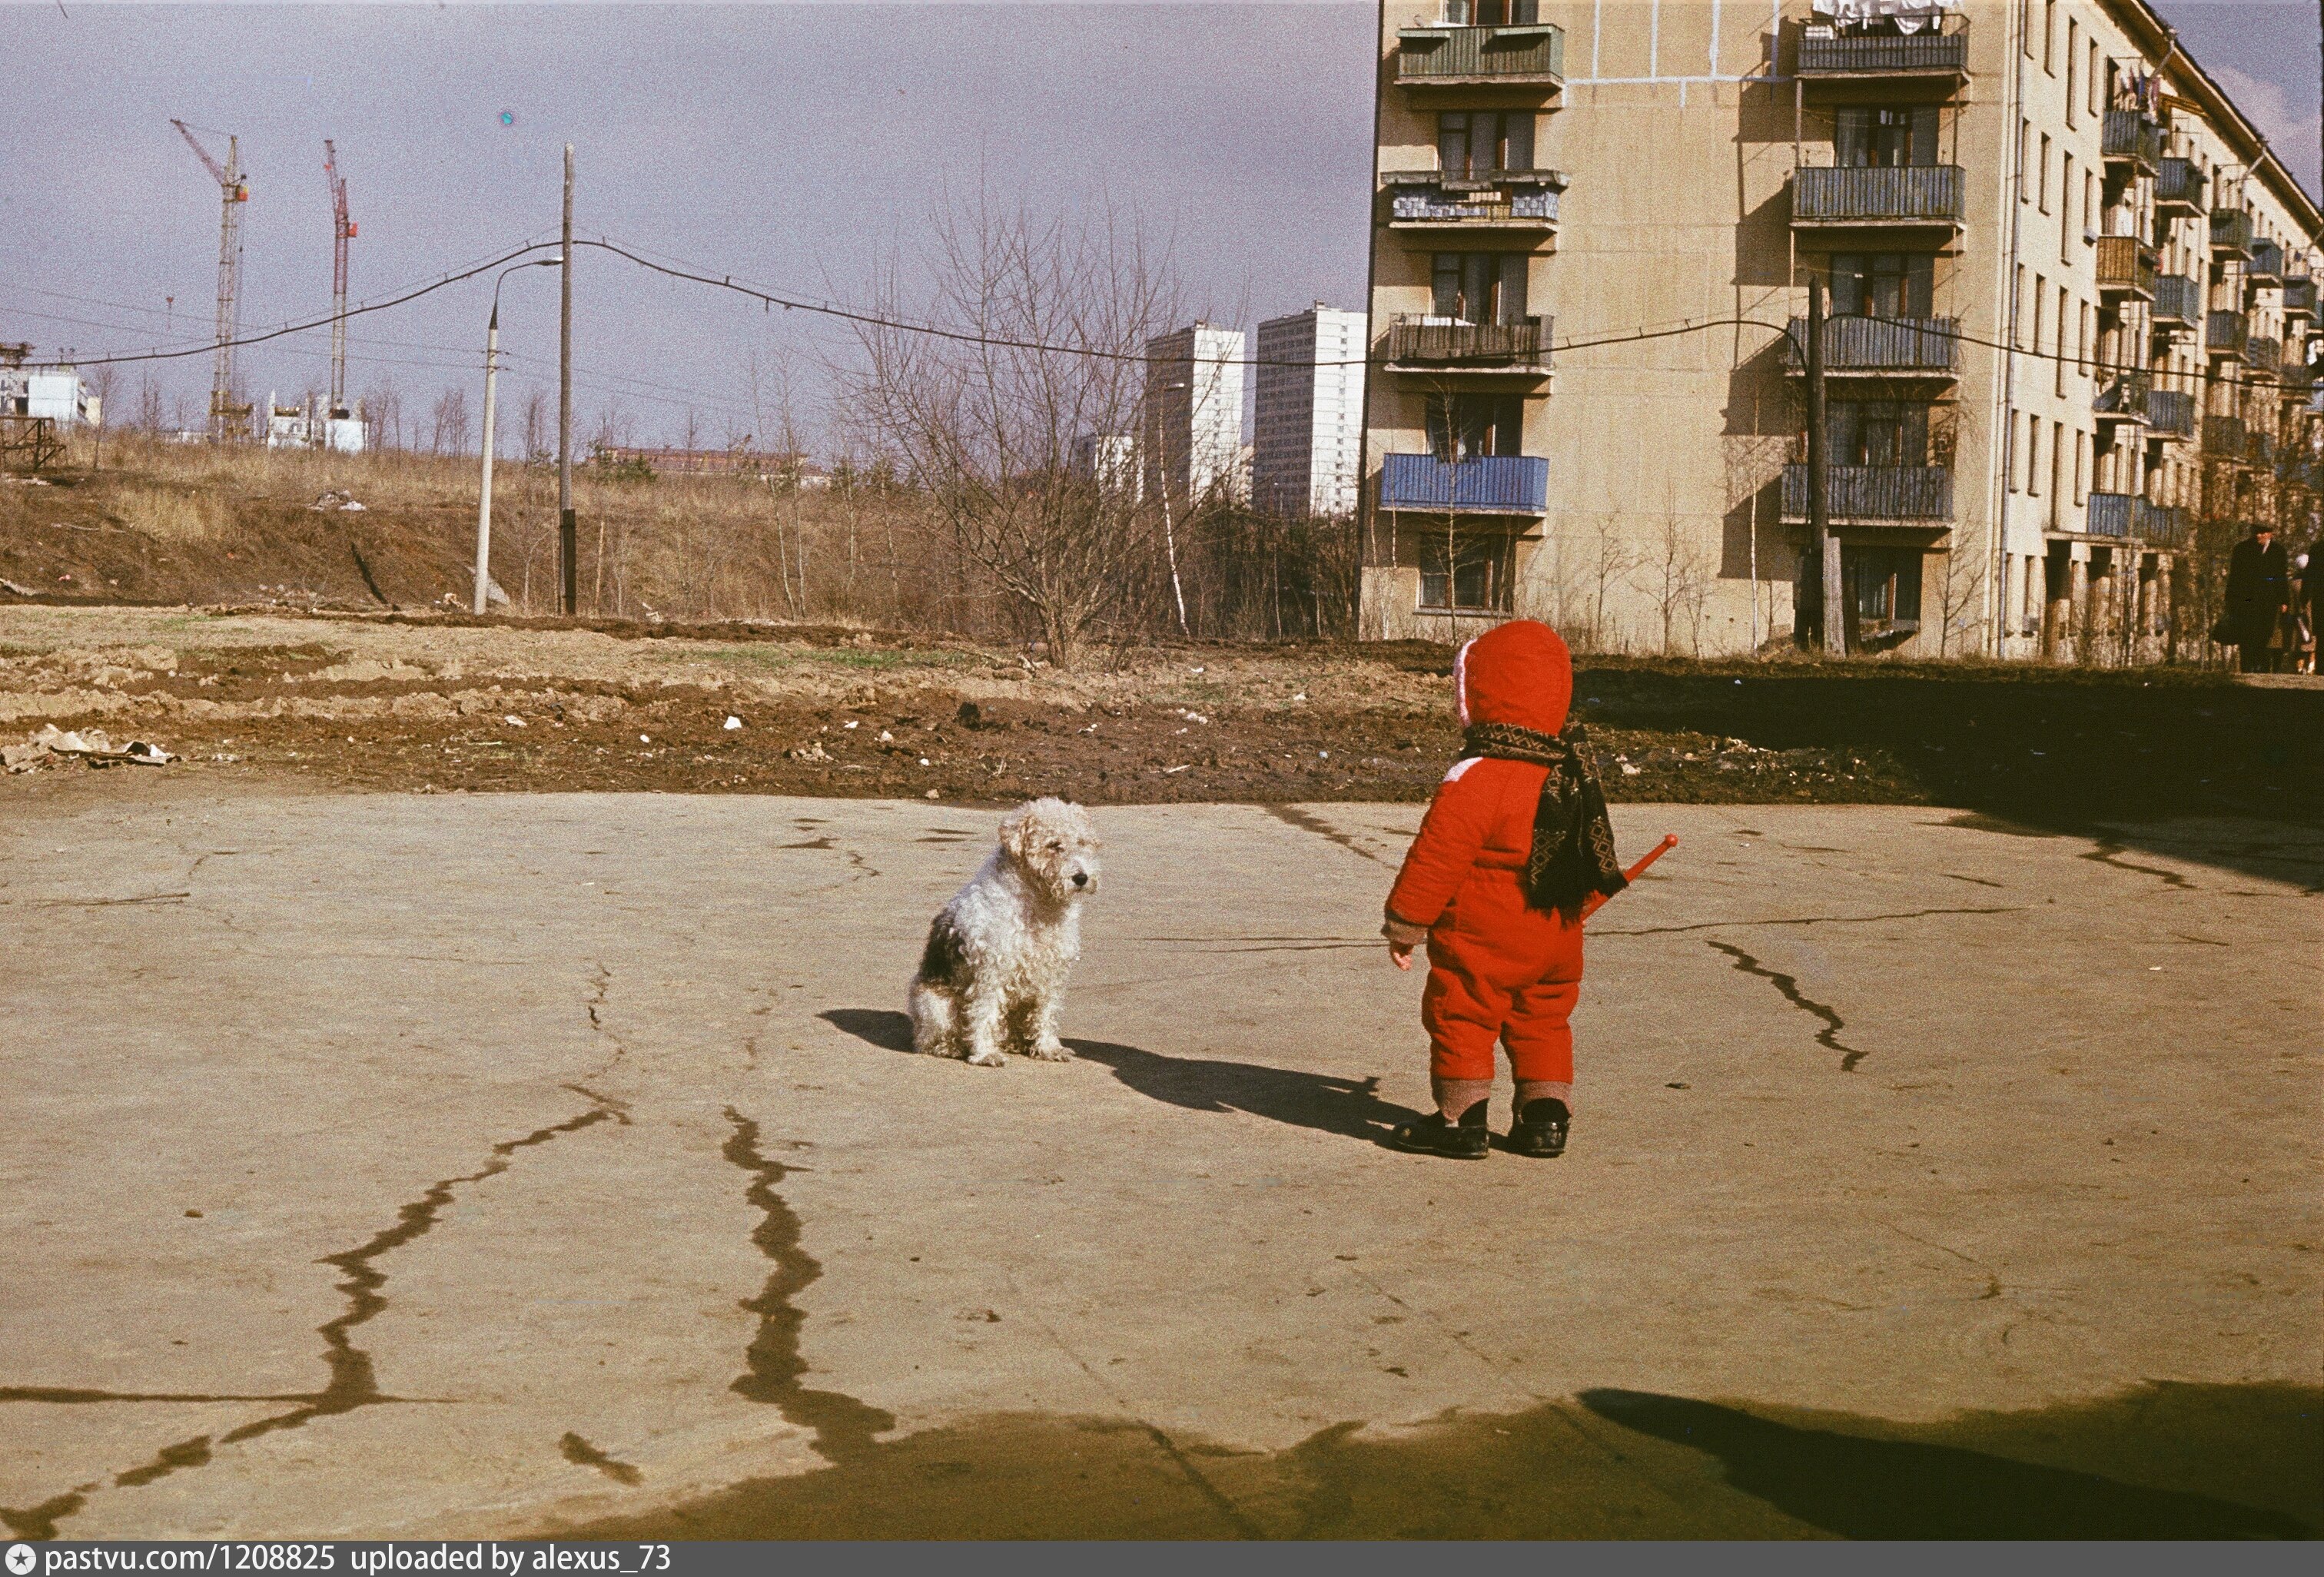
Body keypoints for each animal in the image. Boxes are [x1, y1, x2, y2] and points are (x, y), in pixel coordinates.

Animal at [906, 794, 1097, 1068]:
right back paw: (952, 1047)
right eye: (1053, 845)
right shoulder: (990, 973)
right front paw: (986, 1054)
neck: (1037, 904)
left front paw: (1049, 1048)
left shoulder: (1051, 974)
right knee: (932, 1040)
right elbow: (983, 1014)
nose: (1081, 878)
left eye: (1082, 842)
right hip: (935, 1005)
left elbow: (1046, 1014)